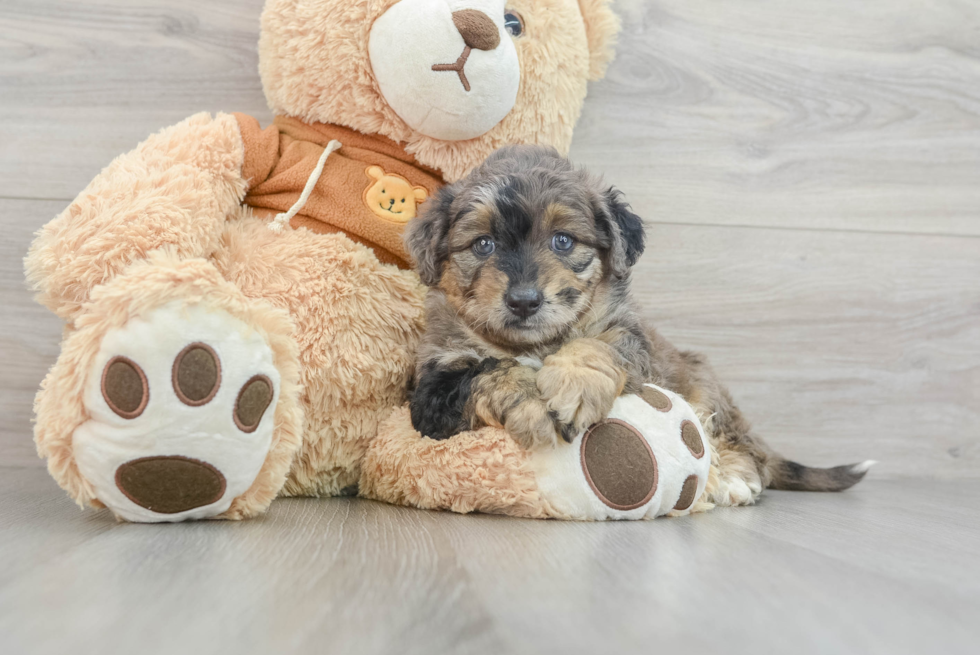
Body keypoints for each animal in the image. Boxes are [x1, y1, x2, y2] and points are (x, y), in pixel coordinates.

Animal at [402, 146, 868, 508]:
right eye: (483, 244)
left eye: (563, 241)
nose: (524, 300)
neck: (536, 343)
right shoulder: (432, 389)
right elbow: (488, 370)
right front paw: (531, 400)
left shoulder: (632, 342)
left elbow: (597, 346)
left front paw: (573, 386)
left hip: (703, 383)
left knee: (737, 441)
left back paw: (734, 477)